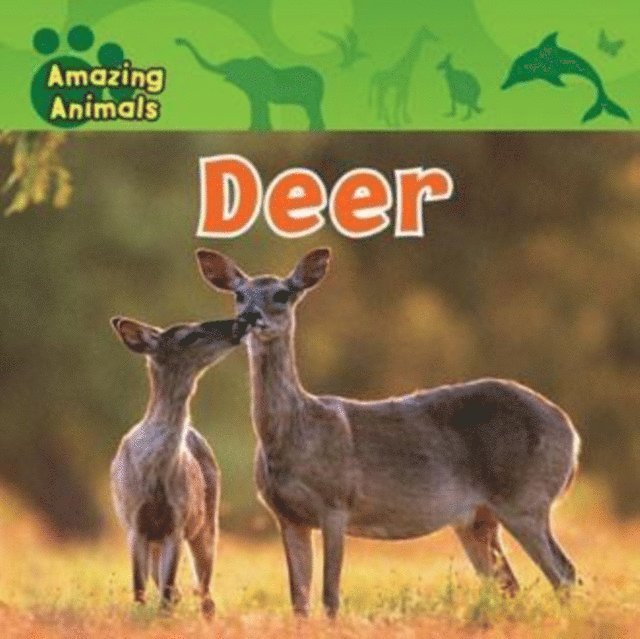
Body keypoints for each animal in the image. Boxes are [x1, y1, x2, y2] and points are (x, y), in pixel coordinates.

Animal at [110, 315, 247, 617]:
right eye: (188, 336)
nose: (240, 322)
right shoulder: (134, 522)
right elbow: (139, 589)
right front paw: (140, 616)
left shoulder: (178, 522)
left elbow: (167, 590)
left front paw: (162, 618)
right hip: (156, 539)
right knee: (176, 589)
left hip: (207, 523)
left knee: (204, 593)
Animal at [195, 247, 580, 618]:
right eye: (239, 294)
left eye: (282, 293)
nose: (250, 317)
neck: (295, 433)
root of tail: (571, 433)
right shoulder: (287, 516)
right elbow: (299, 601)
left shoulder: (336, 503)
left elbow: (330, 596)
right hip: (477, 518)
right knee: (511, 583)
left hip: (526, 498)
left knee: (564, 573)